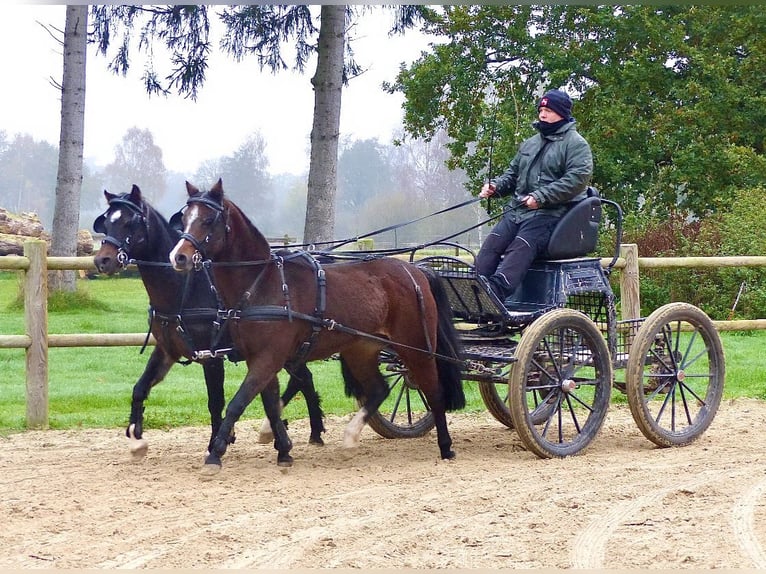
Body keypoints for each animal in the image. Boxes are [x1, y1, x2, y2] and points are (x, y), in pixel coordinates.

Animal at [93, 184, 328, 460]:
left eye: (130, 222)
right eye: (107, 222)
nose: (102, 260)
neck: (184, 288)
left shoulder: (212, 356)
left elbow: (215, 401)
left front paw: (217, 443)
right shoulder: (167, 350)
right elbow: (140, 388)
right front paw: (136, 439)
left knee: (300, 379)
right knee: (304, 379)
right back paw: (311, 431)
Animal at [170, 180, 464, 472]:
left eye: (208, 220)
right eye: (184, 219)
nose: (178, 257)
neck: (263, 283)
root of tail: (415, 272)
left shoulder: (268, 357)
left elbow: (238, 402)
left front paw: (215, 454)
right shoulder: (260, 358)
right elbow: (270, 404)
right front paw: (283, 451)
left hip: (416, 347)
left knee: (434, 392)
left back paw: (446, 446)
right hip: (361, 349)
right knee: (379, 389)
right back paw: (351, 436)